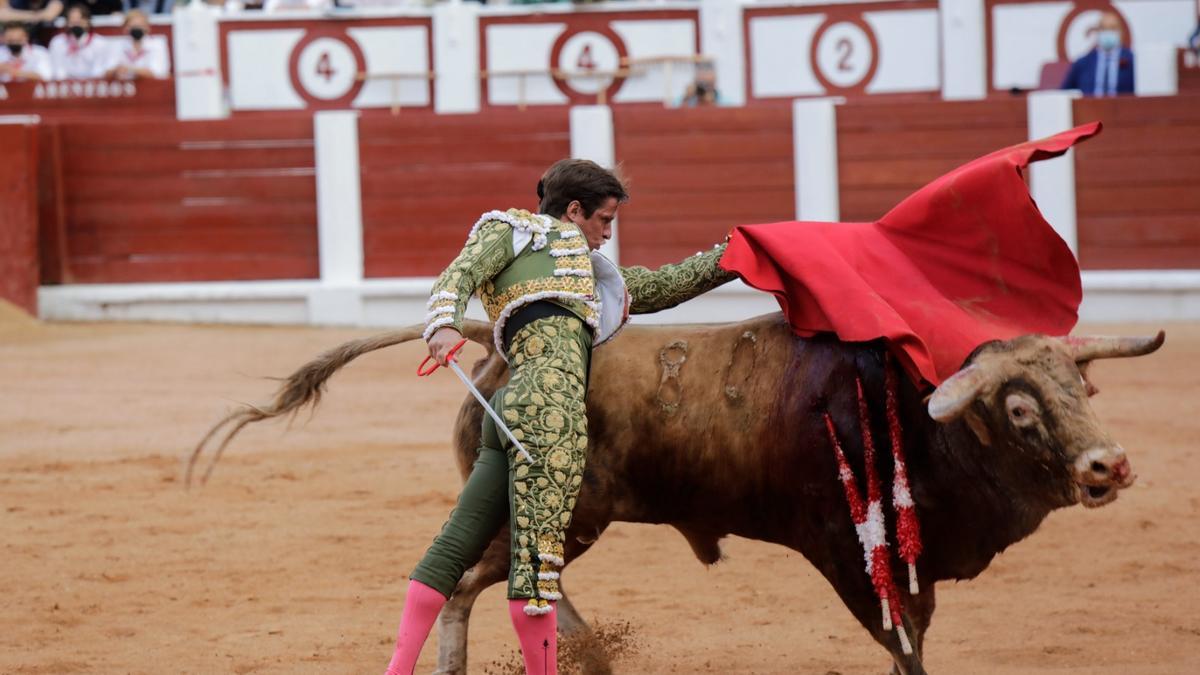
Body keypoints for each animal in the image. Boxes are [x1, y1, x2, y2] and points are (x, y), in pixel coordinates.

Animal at [187, 312, 1161, 667]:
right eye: (1022, 408)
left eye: (1083, 386)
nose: (1108, 463)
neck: (909, 412)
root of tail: (495, 338)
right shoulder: (857, 553)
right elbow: (904, 641)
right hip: (559, 512)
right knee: (473, 587)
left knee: (489, 585)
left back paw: (592, 655)